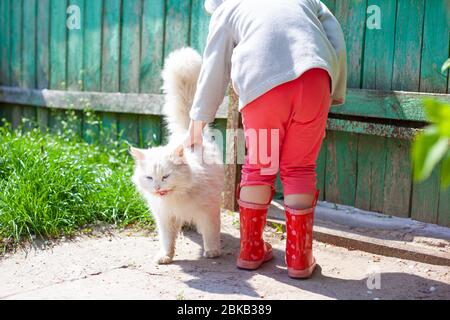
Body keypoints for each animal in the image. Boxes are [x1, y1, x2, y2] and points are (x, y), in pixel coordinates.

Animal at [130, 47, 223, 262]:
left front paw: (212, 252)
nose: (157, 187)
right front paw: (165, 256)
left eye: (166, 176)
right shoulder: (165, 217)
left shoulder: (209, 212)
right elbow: (167, 240)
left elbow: (211, 233)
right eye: (149, 178)